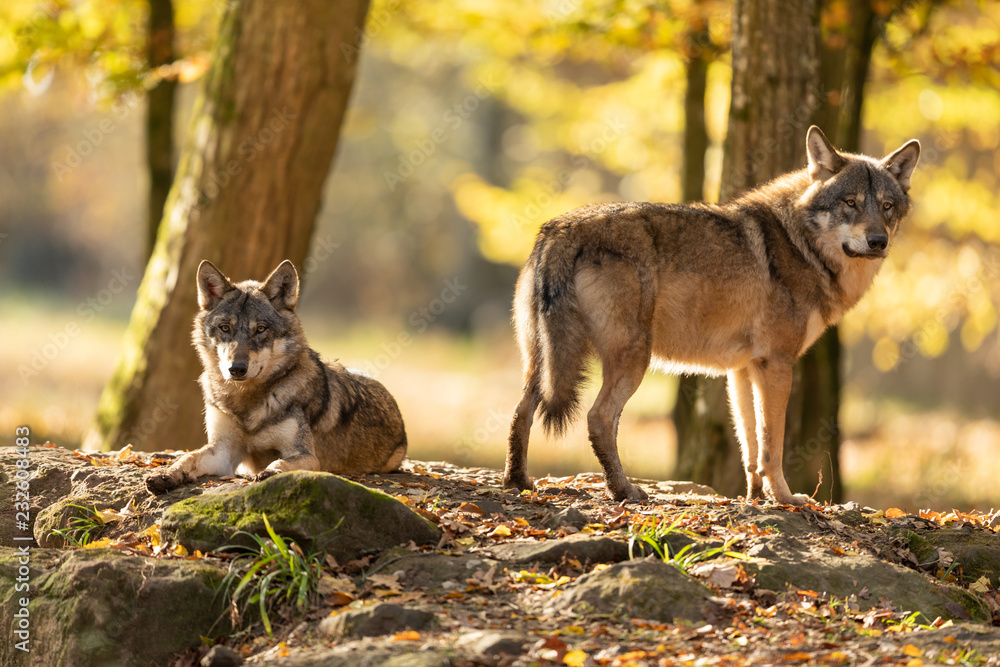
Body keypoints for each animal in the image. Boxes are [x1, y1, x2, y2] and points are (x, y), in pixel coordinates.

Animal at [145, 260, 407, 494]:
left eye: (261, 329)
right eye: (225, 328)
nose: (236, 369)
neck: (246, 401)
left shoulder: (306, 456)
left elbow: (282, 462)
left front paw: (270, 472)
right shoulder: (222, 451)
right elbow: (188, 458)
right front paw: (165, 474)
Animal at [504, 126, 920, 505]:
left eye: (886, 206)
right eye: (850, 202)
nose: (878, 242)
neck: (803, 246)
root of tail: (560, 228)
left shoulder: (743, 370)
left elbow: (751, 445)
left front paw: (755, 497)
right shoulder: (777, 364)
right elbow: (772, 445)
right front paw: (785, 498)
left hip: (541, 362)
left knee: (521, 411)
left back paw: (519, 482)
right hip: (633, 359)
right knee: (599, 419)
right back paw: (623, 490)